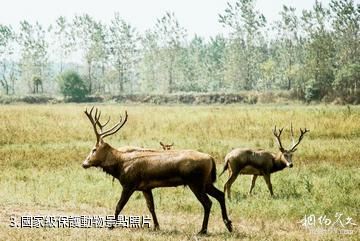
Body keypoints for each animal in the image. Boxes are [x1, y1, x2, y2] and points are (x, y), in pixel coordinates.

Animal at [82, 107, 233, 233]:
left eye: (94, 149)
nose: (84, 163)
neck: (120, 165)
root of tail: (211, 159)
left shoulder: (129, 184)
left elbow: (119, 205)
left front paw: (110, 226)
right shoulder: (145, 187)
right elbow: (151, 207)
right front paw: (156, 226)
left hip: (196, 182)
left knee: (208, 203)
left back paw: (203, 230)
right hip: (206, 182)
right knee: (220, 195)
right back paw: (228, 224)